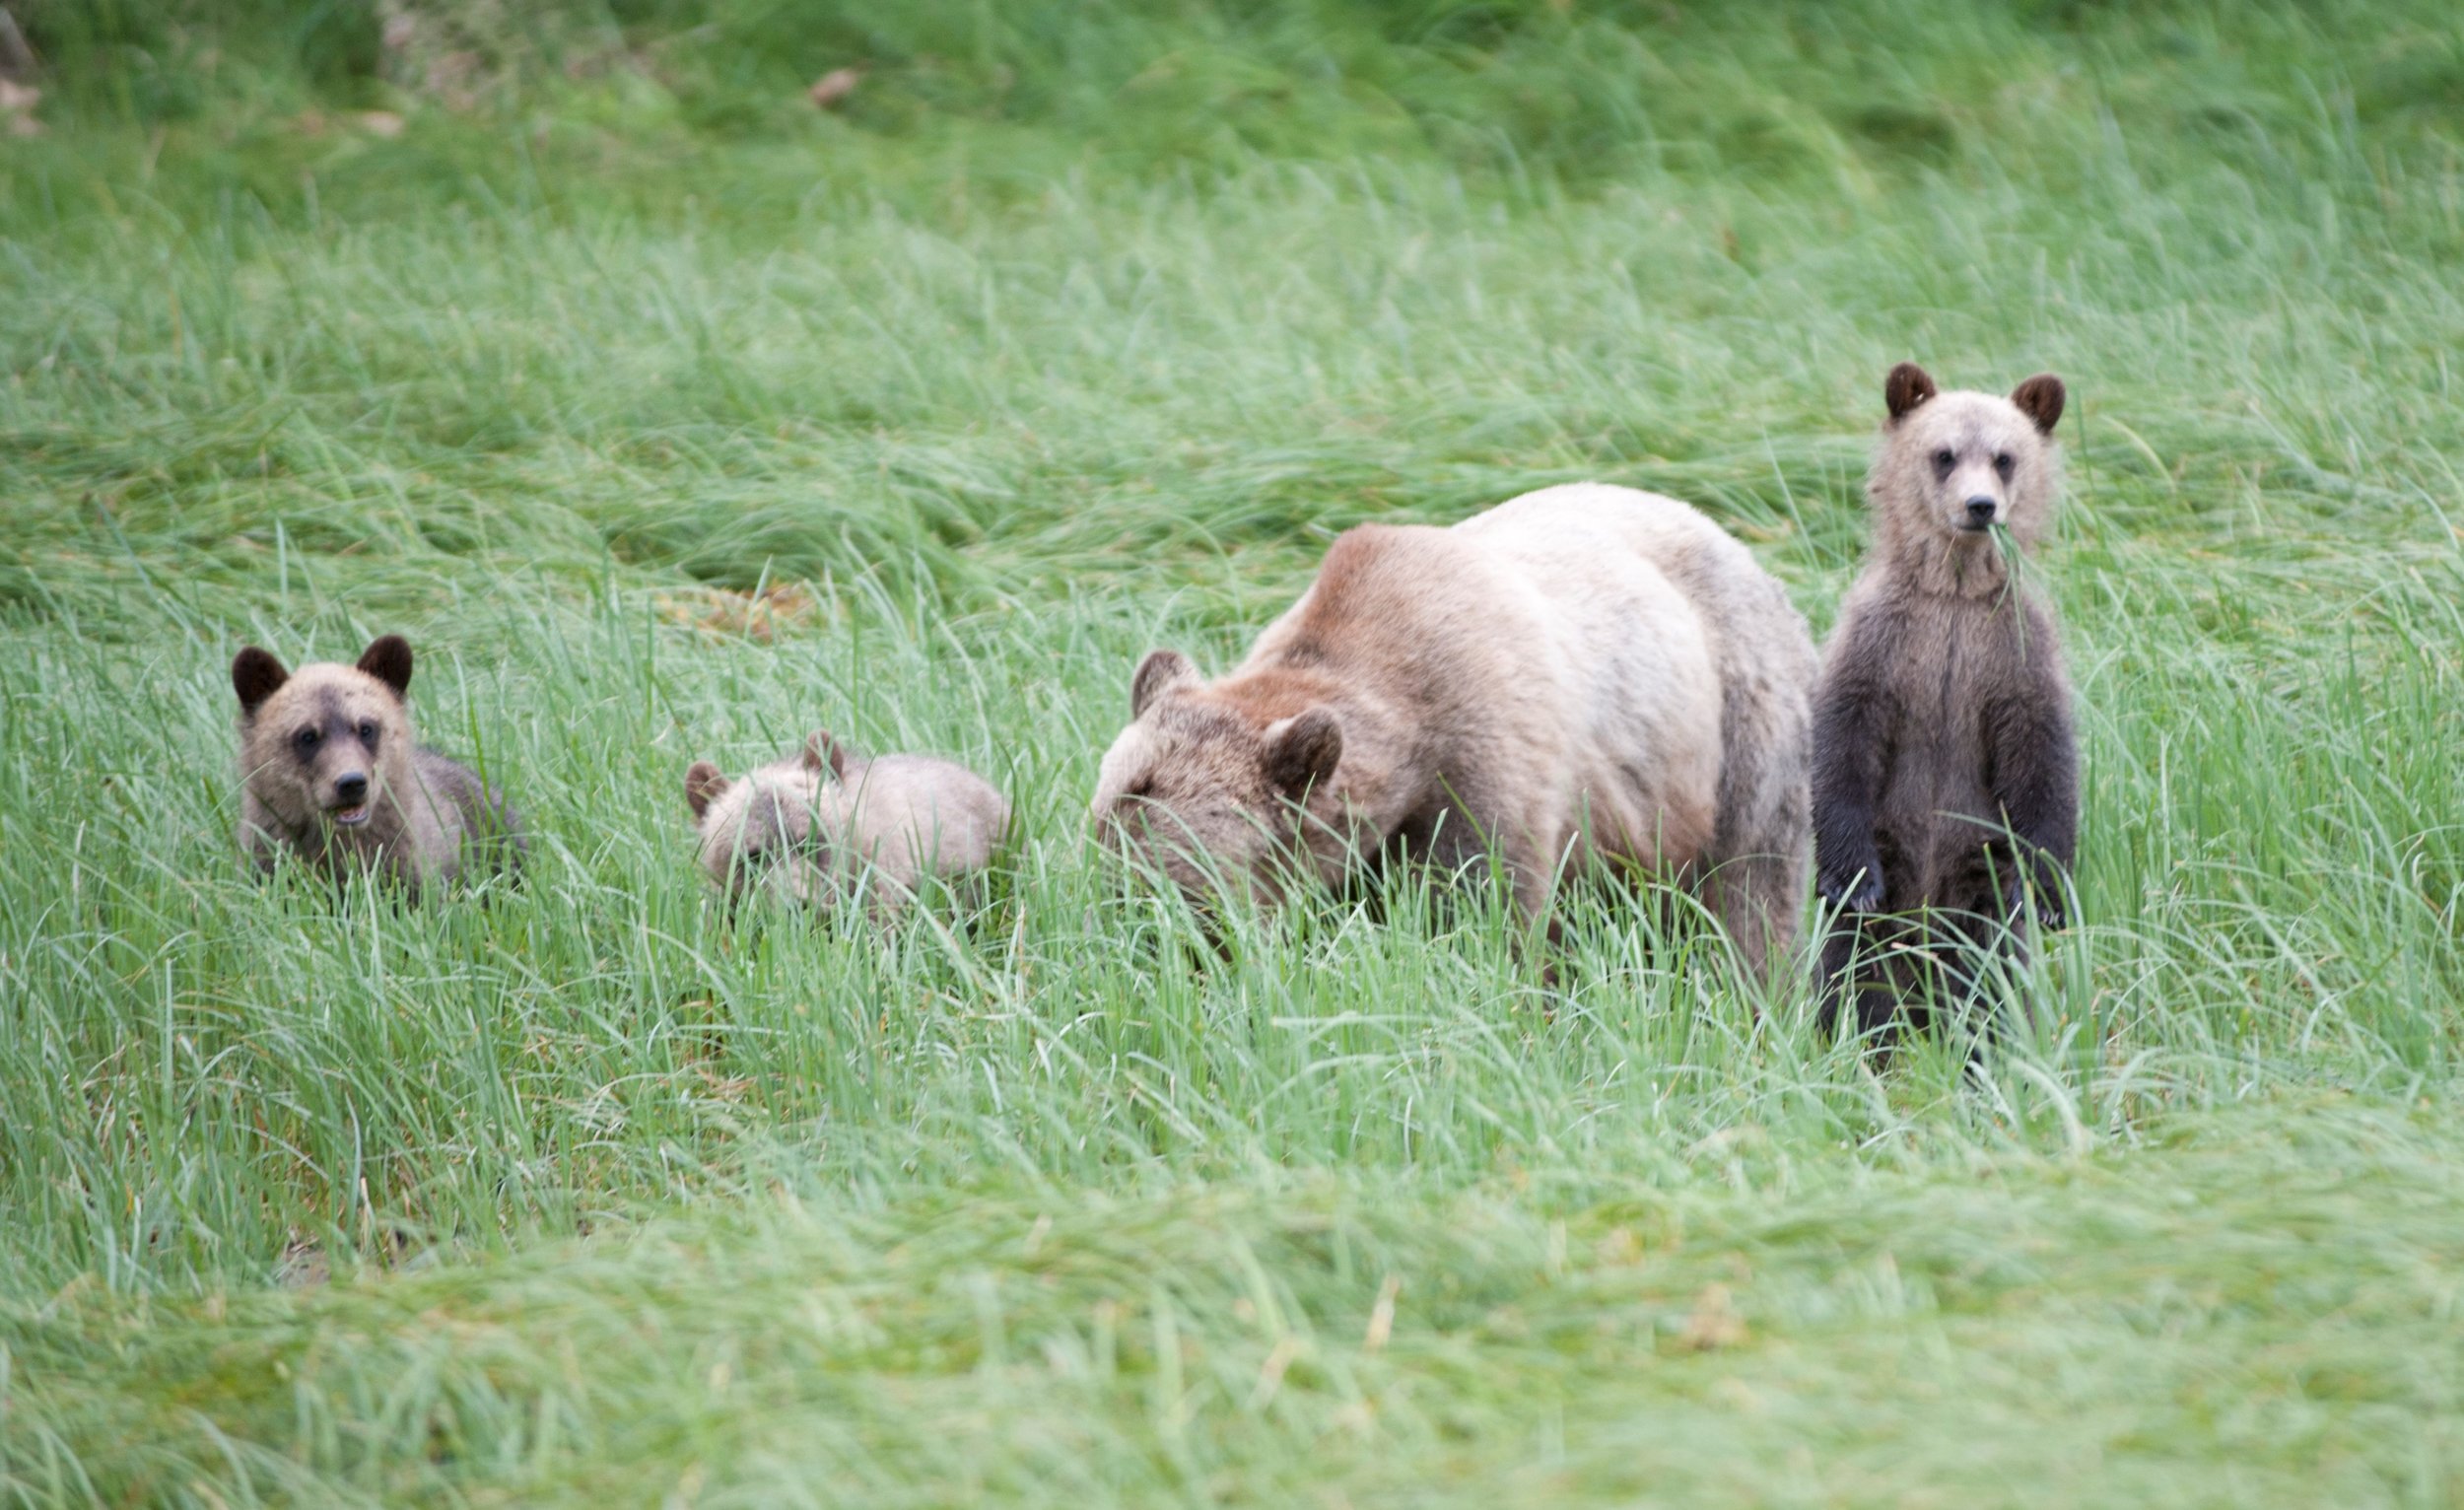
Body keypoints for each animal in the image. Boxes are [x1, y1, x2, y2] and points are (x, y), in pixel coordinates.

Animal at [1089, 482, 1823, 975]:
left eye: (1146, 797)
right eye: (1110, 798)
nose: (1112, 895)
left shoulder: (1484, 757)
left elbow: (1482, 905)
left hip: (1737, 719)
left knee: (1751, 883)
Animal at [1814, 364, 2080, 1034]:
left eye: (2005, 457)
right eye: (1944, 454)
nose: (1979, 506)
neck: (1953, 592)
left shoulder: (2012, 653)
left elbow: (2043, 762)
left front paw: (2048, 897)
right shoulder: (1884, 645)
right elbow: (1842, 744)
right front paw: (1853, 878)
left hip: (1978, 878)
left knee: (1989, 977)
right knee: (1851, 973)